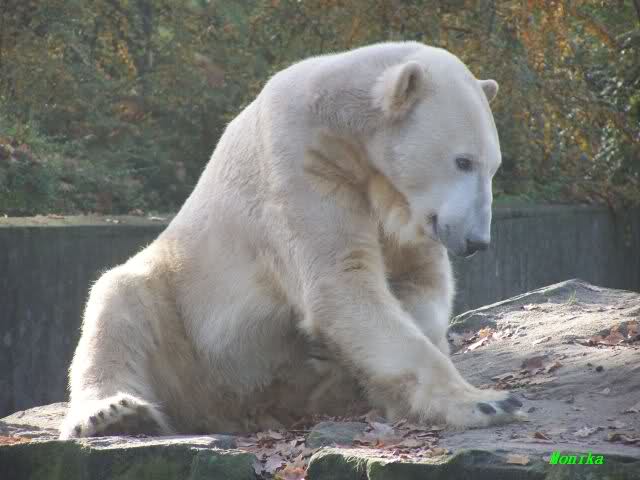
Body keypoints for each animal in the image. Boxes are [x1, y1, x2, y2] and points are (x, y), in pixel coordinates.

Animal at [59, 41, 523, 439]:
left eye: (493, 167)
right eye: (463, 161)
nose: (476, 240)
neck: (343, 128)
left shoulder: (407, 213)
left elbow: (420, 282)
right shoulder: (298, 167)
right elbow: (340, 281)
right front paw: (489, 403)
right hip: (180, 308)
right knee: (118, 301)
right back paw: (115, 413)